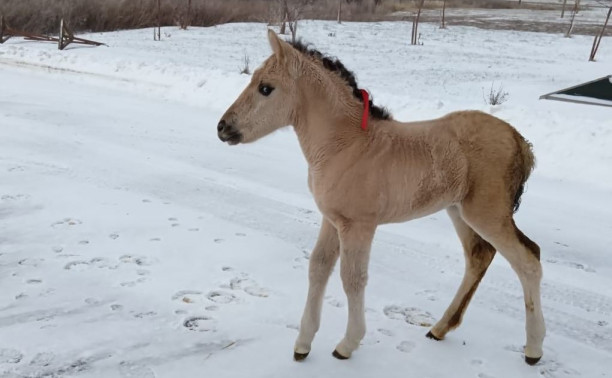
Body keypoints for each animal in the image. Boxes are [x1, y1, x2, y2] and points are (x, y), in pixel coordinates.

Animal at [216, 31, 544, 364]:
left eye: (265, 88)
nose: (223, 127)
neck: (345, 145)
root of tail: (520, 141)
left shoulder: (358, 225)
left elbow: (352, 278)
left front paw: (347, 344)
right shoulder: (331, 219)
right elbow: (318, 268)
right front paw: (303, 344)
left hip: (487, 213)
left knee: (529, 260)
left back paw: (533, 349)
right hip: (458, 210)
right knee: (479, 256)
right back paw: (439, 328)